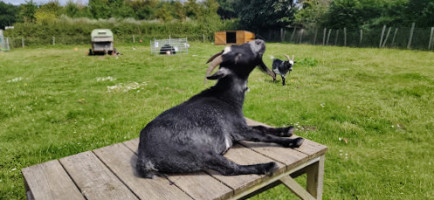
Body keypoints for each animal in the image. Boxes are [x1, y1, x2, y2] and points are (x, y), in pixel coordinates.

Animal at [137, 39, 304, 178]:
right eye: (237, 56)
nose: (259, 41)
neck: (225, 98)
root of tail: (145, 159)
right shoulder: (237, 129)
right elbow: (262, 136)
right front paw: (294, 141)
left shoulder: (240, 124)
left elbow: (262, 127)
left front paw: (287, 129)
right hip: (199, 153)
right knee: (230, 169)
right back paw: (267, 166)